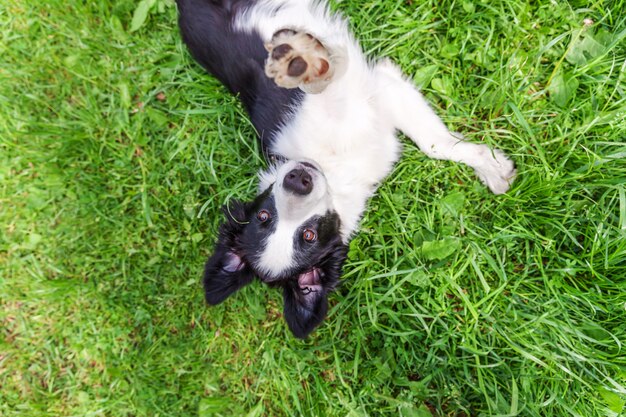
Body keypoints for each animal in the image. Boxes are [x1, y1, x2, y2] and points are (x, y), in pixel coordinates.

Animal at [174, 0, 512, 338]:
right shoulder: (373, 93)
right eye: (307, 235)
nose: (298, 179)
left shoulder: (380, 99)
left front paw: (491, 167)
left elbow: (435, 145)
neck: (332, 166)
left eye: (263, 216)